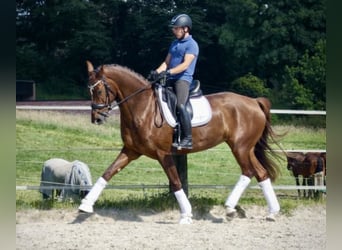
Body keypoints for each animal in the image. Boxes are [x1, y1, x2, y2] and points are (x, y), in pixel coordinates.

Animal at [79, 61, 282, 224]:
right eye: (88, 90)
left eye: (98, 90)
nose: (96, 118)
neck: (143, 107)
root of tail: (254, 102)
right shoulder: (130, 151)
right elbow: (108, 173)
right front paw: (85, 206)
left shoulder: (163, 154)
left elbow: (176, 182)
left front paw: (186, 215)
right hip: (247, 149)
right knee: (261, 173)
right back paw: (272, 213)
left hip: (239, 147)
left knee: (248, 172)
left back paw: (230, 208)